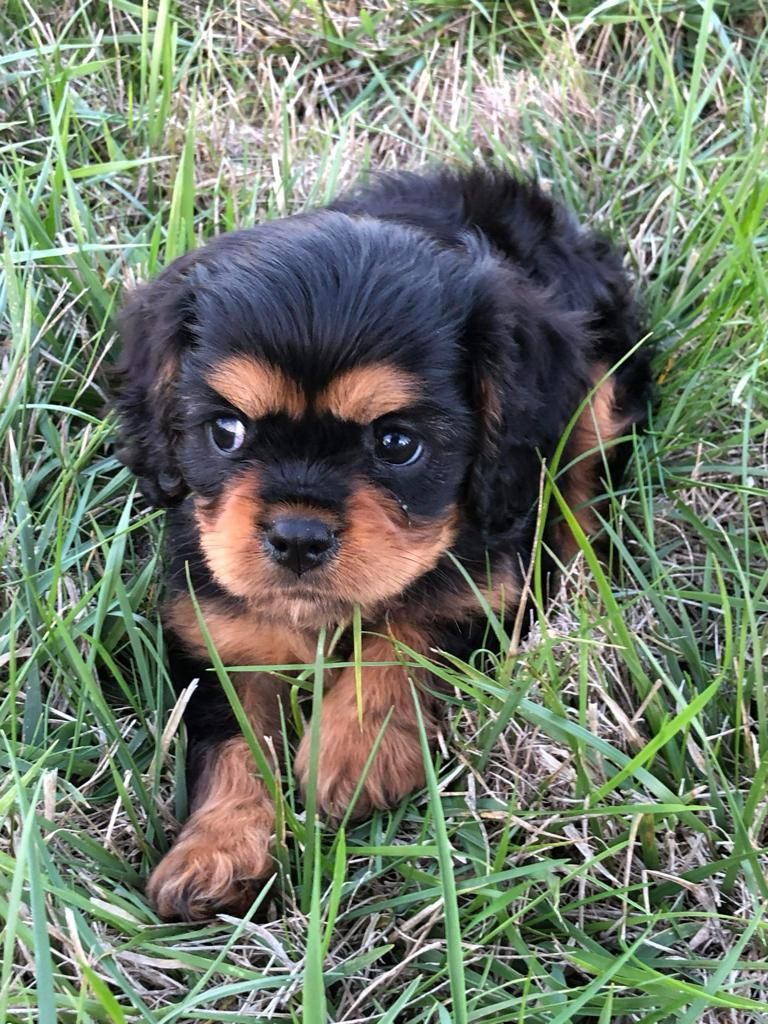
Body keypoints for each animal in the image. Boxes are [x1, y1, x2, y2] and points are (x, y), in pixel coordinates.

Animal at [114, 167, 651, 921]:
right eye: (226, 432)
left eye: (398, 444)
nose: (298, 537)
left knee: (582, 473)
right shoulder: (221, 632)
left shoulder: (485, 592)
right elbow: (233, 739)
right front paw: (215, 851)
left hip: (600, 382)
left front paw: (352, 753)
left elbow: (407, 633)